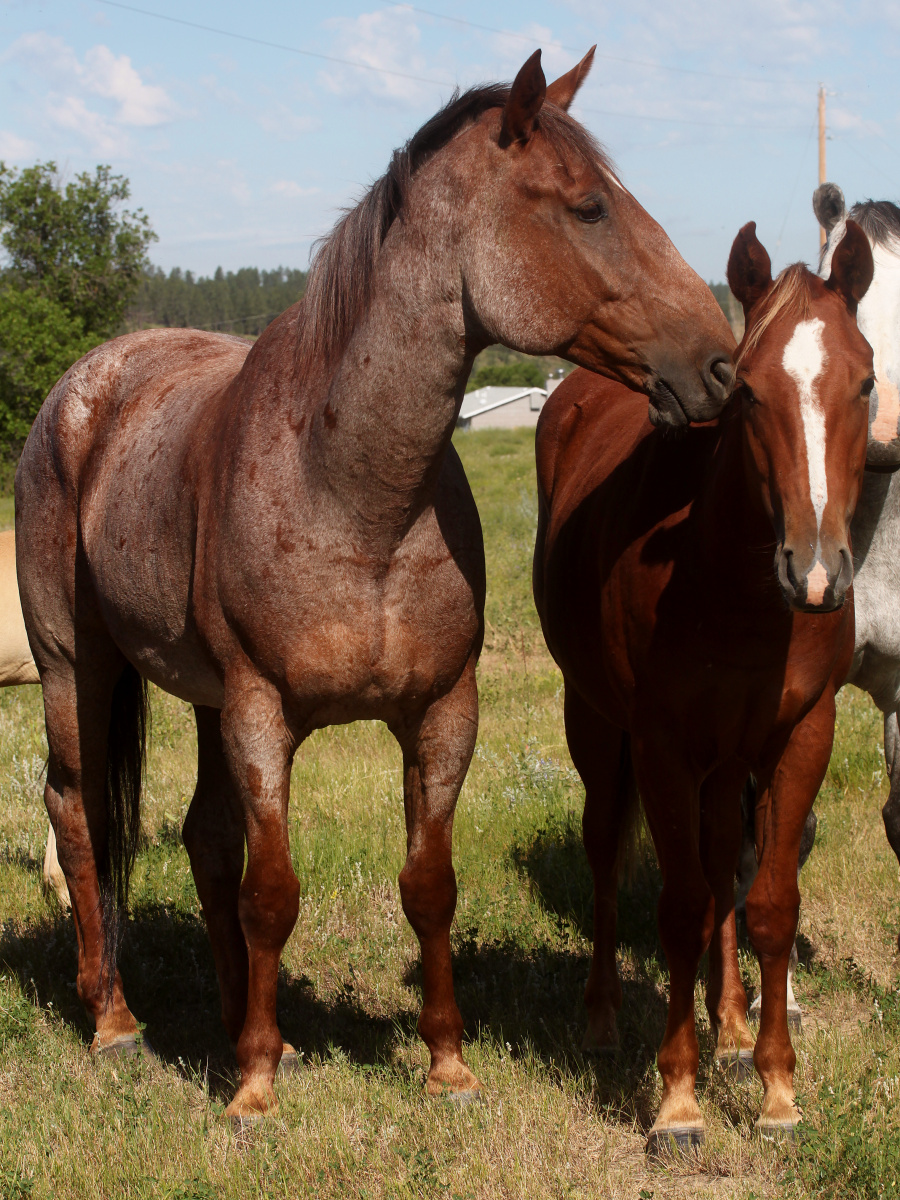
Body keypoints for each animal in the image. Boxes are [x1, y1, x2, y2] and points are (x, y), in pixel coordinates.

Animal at [14, 49, 734, 1123]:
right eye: (589, 207)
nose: (720, 364)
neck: (354, 496)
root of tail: (81, 388)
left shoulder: (439, 712)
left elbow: (426, 885)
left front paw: (446, 1065)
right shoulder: (262, 713)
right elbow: (273, 892)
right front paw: (255, 1087)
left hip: (198, 698)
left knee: (200, 837)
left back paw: (227, 1015)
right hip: (77, 665)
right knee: (79, 815)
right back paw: (114, 1020)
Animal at [535, 220, 873, 1147]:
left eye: (867, 382)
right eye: (749, 393)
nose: (816, 573)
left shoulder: (799, 735)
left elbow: (768, 902)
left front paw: (777, 1088)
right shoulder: (659, 745)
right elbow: (681, 906)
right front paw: (679, 1102)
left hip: (726, 759)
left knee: (726, 862)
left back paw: (727, 1022)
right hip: (597, 725)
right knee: (606, 852)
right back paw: (604, 1019)